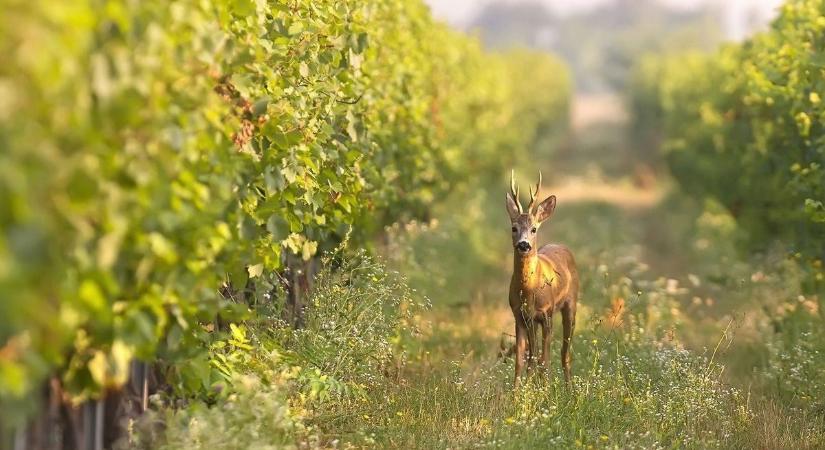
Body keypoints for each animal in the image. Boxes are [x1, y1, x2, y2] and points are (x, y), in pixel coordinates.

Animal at [502, 172, 580, 386]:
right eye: (514, 228)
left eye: (534, 229)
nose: (524, 244)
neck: (529, 290)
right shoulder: (520, 316)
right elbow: (522, 360)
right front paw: (518, 392)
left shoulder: (546, 314)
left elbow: (544, 360)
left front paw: (543, 391)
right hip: (533, 321)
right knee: (535, 356)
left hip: (571, 304)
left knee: (564, 353)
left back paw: (569, 389)